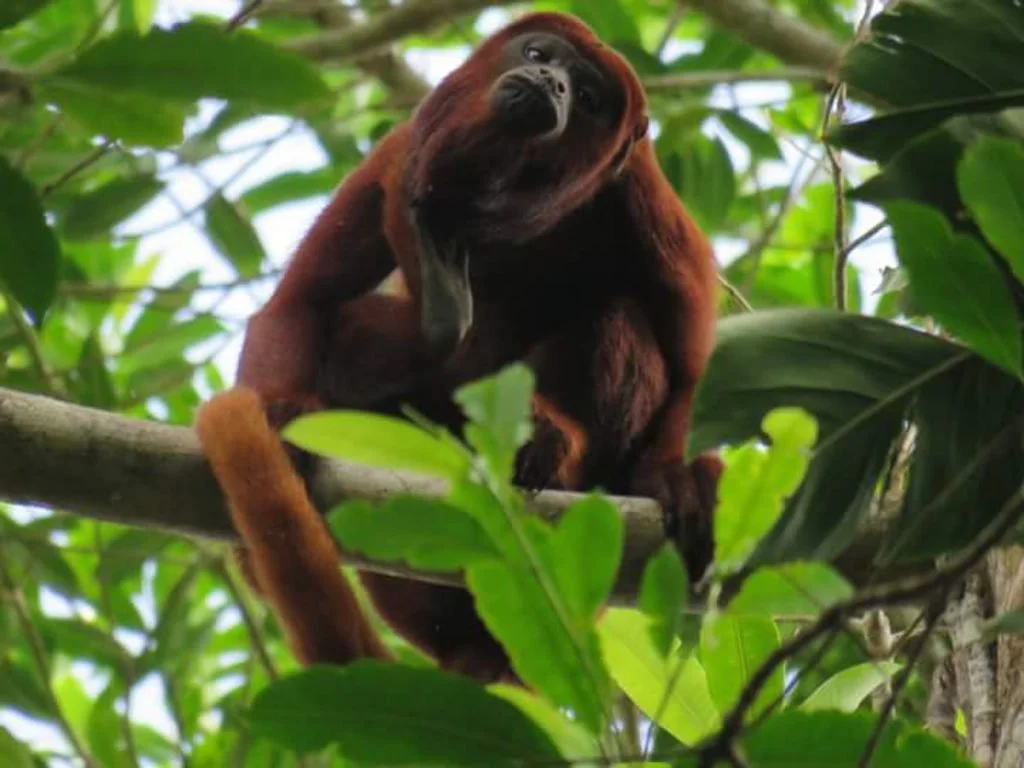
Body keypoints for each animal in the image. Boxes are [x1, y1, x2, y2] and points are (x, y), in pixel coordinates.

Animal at [195, 11, 722, 683]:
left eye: (589, 97)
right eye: (539, 54)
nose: (551, 83)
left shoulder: (644, 198)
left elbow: (691, 369)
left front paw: (674, 478)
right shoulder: (399, 151)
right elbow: (302, 301)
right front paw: (285, 414)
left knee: (620, 318)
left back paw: (551, 445)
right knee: (358, 328)